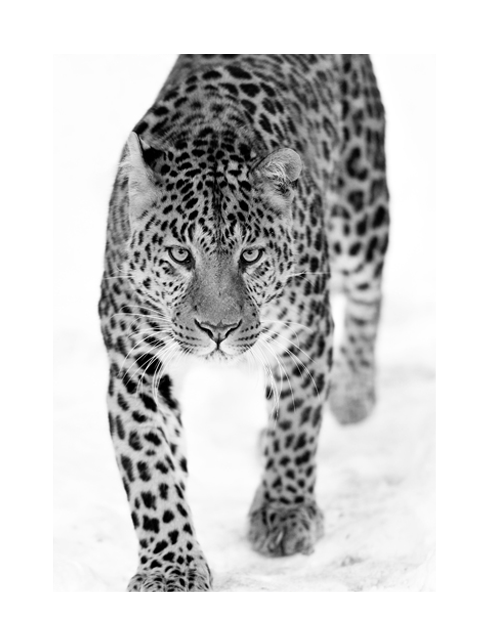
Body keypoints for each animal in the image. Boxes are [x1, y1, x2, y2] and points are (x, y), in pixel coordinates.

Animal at [99, 54, 389, 592]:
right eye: (180, 255)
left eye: (250, 255)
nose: (219, 330)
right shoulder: (134, 366)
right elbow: (151, 470)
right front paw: (170, 567)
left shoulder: (306, 336)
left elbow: (294, 428)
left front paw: (284, 512)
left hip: (361, 211)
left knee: (367, 294)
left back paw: (353, 393)